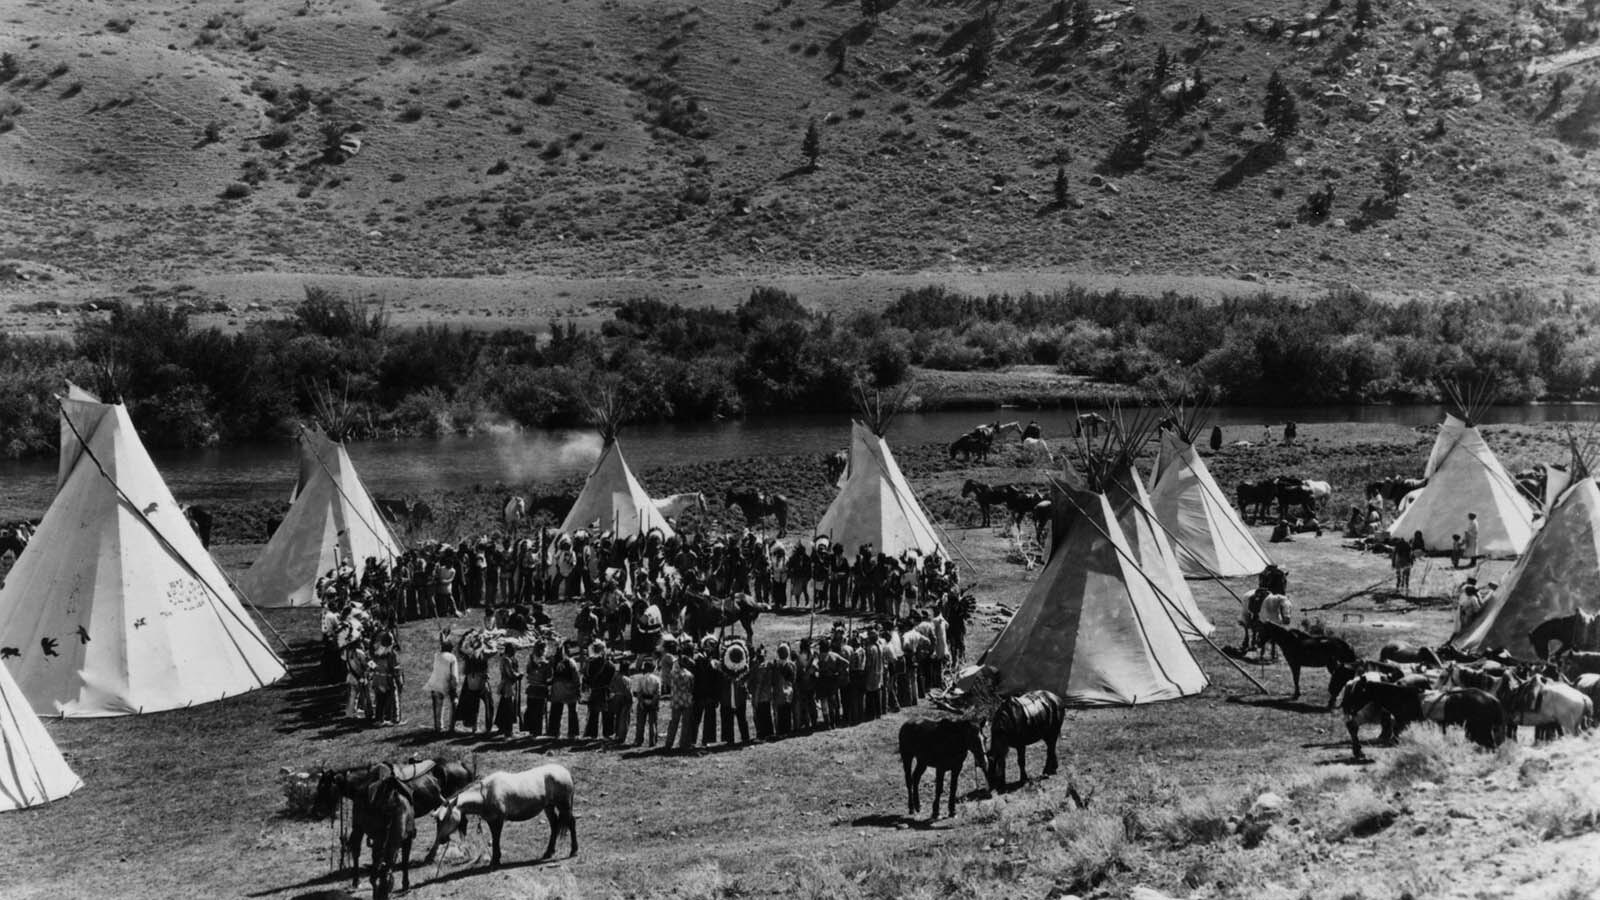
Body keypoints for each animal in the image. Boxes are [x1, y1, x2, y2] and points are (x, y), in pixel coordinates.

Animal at [428, 759, 579, 864]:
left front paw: (495, 860)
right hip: (549, 807)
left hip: (564, 805)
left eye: (446, 818)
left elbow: (496, 839)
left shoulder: (498, 821)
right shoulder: (491, 821)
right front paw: (496, 859)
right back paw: (548, 852)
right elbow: (495, 839)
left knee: (571, 822)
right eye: (437, 821)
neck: (485, 794)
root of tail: (566, 772)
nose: (441, 839)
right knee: (554, 825)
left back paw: (574, 850)